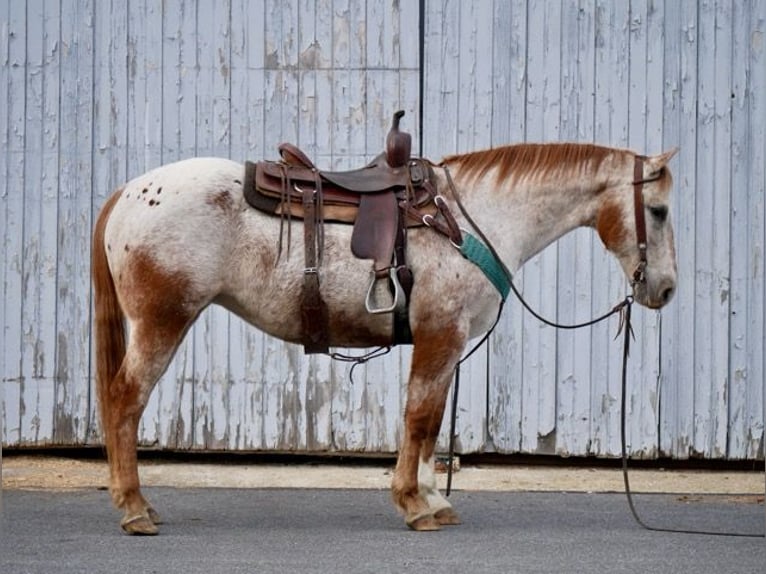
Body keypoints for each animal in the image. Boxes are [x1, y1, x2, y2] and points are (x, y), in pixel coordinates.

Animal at [91, 140, 680, 536]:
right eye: (659, 210)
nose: (666, 288)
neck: (471, 221)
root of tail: (128, 193)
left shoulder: (447, 343)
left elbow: (433, 422)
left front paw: (434, 500)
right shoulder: (440, 336)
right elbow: (418, 418)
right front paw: (414, 505)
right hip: (163, 323)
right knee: (125, 400)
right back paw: (135, 509)